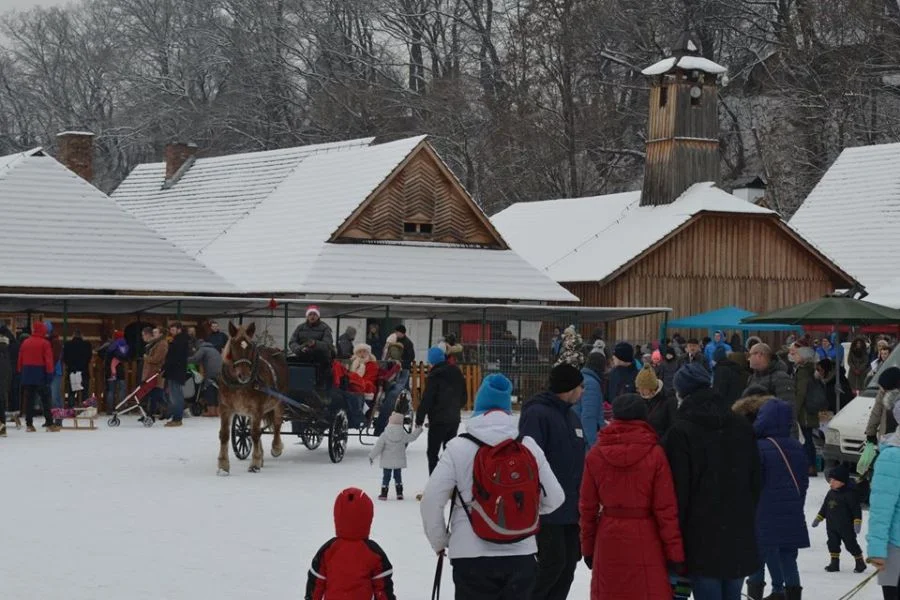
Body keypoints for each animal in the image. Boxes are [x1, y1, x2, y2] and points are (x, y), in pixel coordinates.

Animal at [218, 324, 284, 474]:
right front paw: (223, 466)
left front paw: (255, 463)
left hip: (279, 402)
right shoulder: (225, 408)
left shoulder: (257, 408)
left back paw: (276, 447)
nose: (244, 375)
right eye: (234, 345)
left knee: (276, 424)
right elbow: (224, 434)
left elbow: (255, 434)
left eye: (250, 347)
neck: (238, 385)